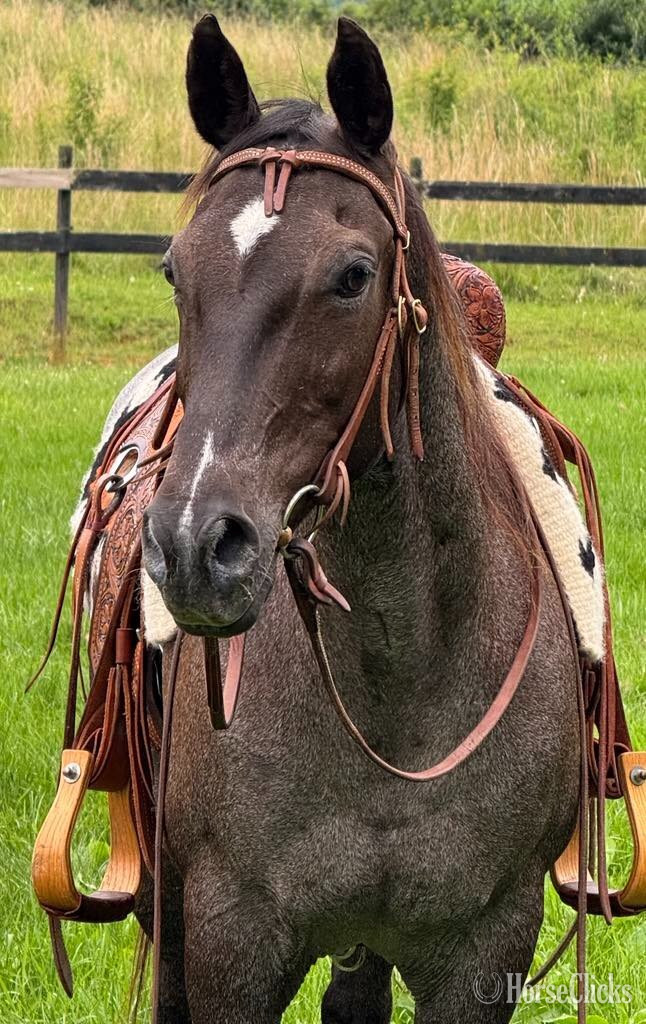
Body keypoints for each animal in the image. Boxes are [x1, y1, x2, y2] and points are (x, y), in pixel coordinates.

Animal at [134, 15, 581, 1022]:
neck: (400, 683)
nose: (193, 546)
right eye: (175, 269)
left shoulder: (485, 948)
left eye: (352, 275)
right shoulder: (230, 940)